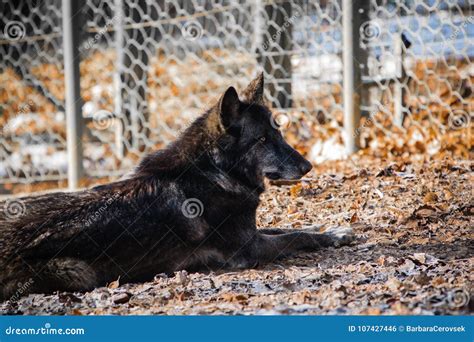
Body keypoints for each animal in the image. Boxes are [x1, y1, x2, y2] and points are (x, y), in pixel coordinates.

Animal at [0, 73, 352, 300]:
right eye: (263, 140)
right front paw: (326, 235)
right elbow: (295, 236)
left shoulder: (252, 231)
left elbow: (290, 226)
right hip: (76, 272)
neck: (214, 170)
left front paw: (333, 229)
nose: (308, 166)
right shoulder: (249, 247)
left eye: (278, 133)